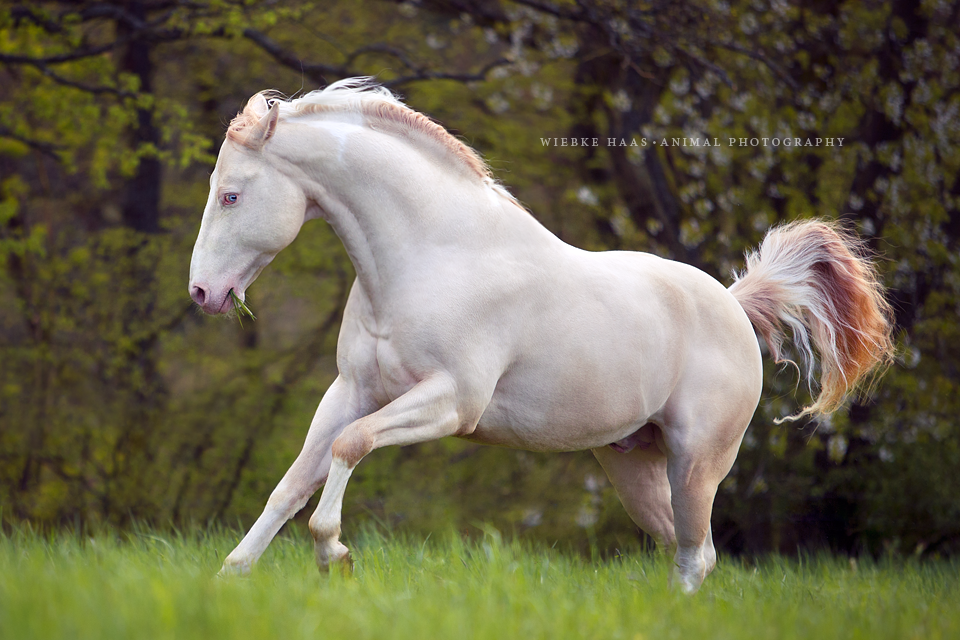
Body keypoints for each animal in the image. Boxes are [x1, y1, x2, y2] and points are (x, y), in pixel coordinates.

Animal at [191, 77, 896, 592]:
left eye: (231, 196)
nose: (202, 294)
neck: (434, 255)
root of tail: (732, 304)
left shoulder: (452, 402)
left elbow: (350, 447)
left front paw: (333, 553)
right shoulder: (351, 391)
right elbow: (294, 480)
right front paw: (232, 574)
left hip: (696, 461)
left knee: (697, 555)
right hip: (635, 467)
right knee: (686, 551)